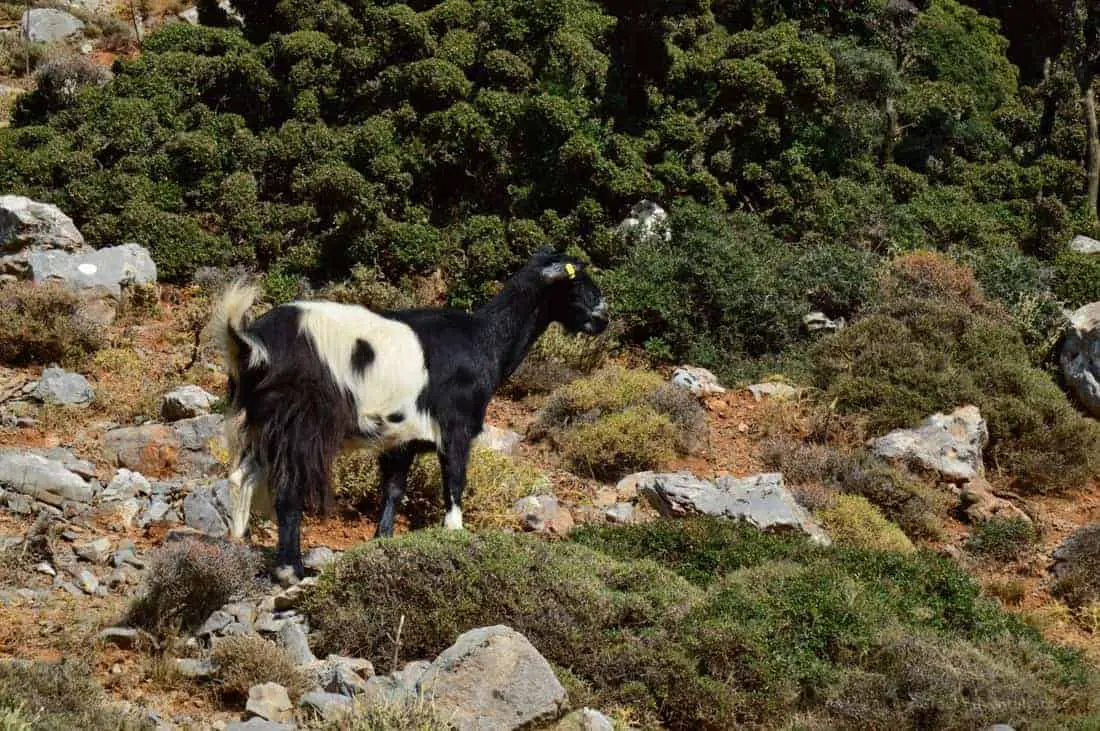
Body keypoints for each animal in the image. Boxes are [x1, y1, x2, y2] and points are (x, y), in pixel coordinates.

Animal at [210, 250, 611, 580]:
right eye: (578, 282)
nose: (603, 318)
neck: (482, 340)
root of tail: (252, 344)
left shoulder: (400, 439)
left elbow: (393, 490)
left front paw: (382, 542)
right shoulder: (456, 426)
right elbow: (454, 484)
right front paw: (455, 534)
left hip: (259, 423)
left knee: (242, 477)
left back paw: (240, 547)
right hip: (298, 424)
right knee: (288, 486)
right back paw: (290, 570)